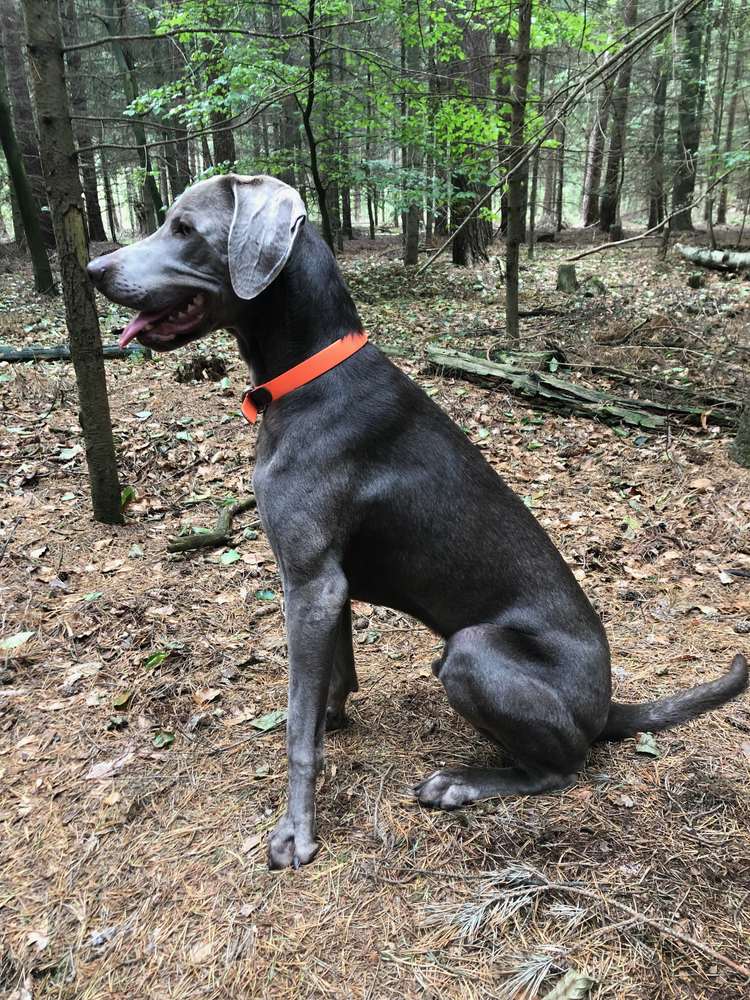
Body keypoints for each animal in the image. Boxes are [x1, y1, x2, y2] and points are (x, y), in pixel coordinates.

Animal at [86, 172, 748, 868]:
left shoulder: (309, 582)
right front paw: (333, 720)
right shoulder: (330, 584)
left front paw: (297, 828)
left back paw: (461, 783)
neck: (307, 376)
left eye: (184, 228)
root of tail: (608, 706)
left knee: (564, 766)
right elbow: (334, 677)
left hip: (471, 651)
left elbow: (295, 726)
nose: (93, 269)